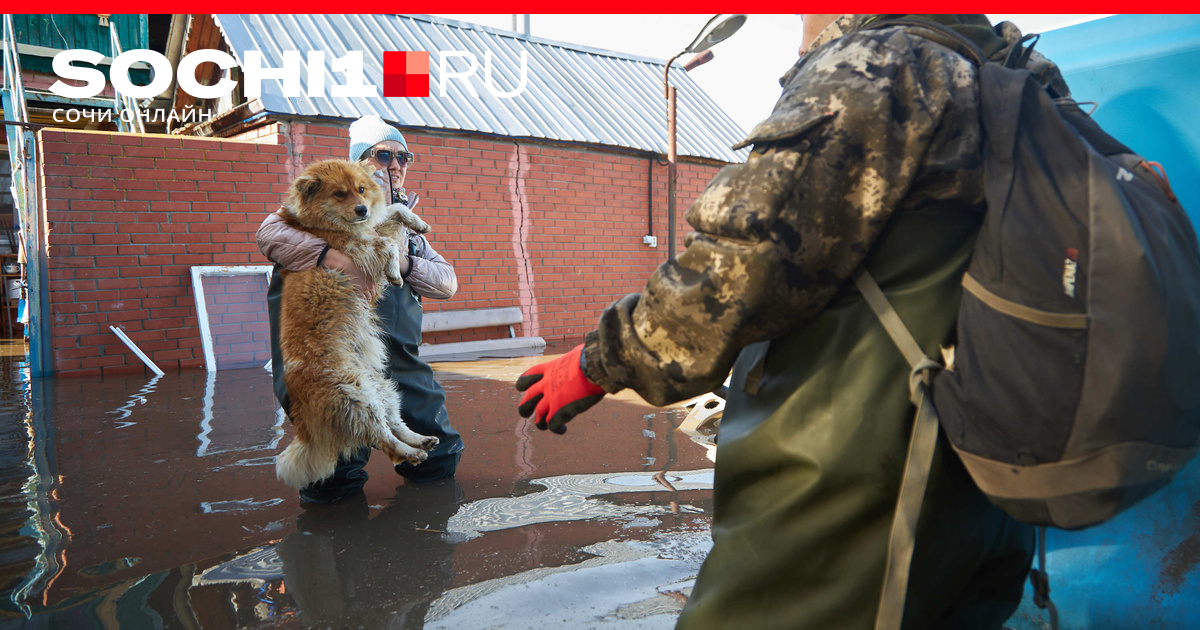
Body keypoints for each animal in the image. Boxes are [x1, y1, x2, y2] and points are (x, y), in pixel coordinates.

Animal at [274, 159, 439, 489]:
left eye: (361, 189)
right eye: (339, 193)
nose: (362, 209)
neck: (326, 224)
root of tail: (305, 424)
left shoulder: (369, 229)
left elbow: (394, 211)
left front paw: (417, 223)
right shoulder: (359, 247)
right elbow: (388, 244)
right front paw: (394, 271)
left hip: (382, 388)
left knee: (393, 424)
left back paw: (421, 440)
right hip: (356, 395)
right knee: (384, 441)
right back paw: (412, 452)